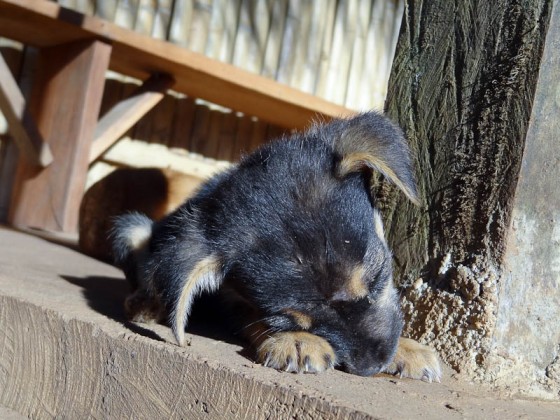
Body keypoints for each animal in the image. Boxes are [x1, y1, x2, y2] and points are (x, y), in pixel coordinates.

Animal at [110, 111, 442, 380]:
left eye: (378, 277)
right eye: (288, 319)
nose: (371, 367)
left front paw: (408, 349)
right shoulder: (230, 302)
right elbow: (254, 320)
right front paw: (297, 341)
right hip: (132, 229)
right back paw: (144, 305)